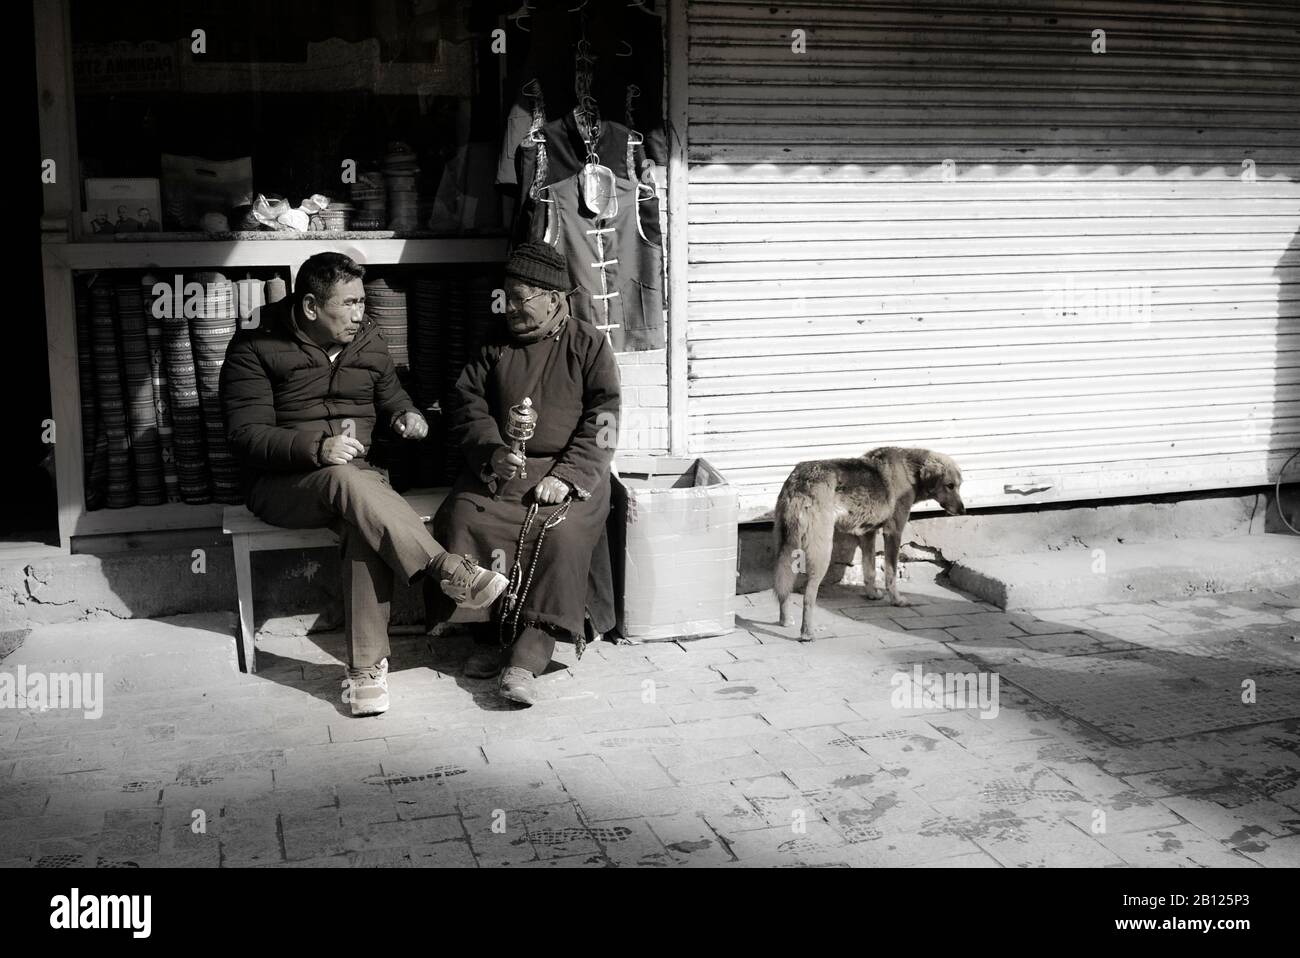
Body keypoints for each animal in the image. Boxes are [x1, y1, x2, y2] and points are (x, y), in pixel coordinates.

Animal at [769, 444, 967, 639]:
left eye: (959, 486)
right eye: (950, 486)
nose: (963, 511)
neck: (911, 470)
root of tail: (799, 482)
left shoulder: (867, 533)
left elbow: (869, 570)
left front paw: (872, 595)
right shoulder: (893, 532)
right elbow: (891, 574)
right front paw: (897, 600)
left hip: (785, 548)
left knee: (783, 586)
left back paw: (785, 620)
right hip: (821, 552)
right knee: (808, 597)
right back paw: (807, 633)